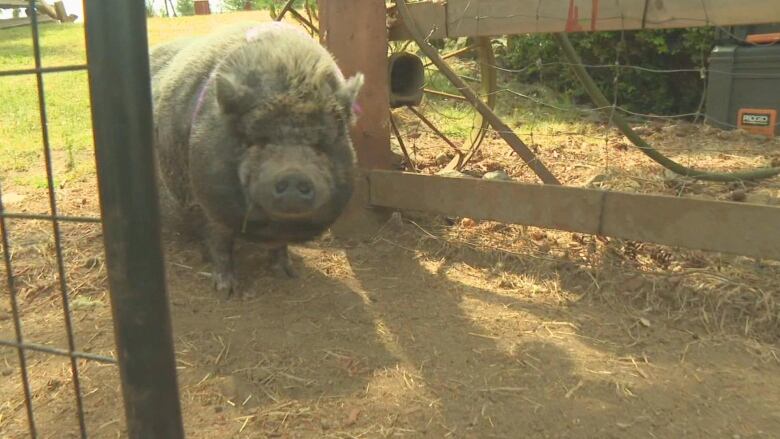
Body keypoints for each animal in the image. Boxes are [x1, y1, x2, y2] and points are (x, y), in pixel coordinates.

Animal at [149, 20, 362, 296]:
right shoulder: (208, 203)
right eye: (257, 140)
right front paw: (226, 291)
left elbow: (280, 247)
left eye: (320, 143)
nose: (293, 175)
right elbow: (220, 243)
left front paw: (288, 274)